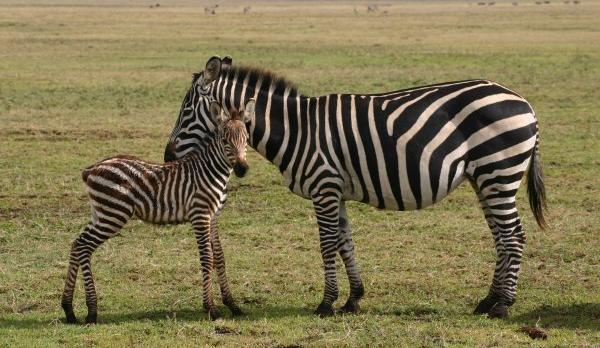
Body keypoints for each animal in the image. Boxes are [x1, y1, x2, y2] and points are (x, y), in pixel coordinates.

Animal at [165, 56, 548, 318]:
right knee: (501, 237)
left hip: (498, 172)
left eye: (186, 111)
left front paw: (326, 303)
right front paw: (353, 298)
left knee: (514, 236)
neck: (298, 131)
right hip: (486, 179)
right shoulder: (336, 191)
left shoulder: (323, 187)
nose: (167, 156)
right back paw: (488, 300)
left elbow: (326, 245)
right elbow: (345, 243)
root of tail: (524, 103)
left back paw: (504, 306)